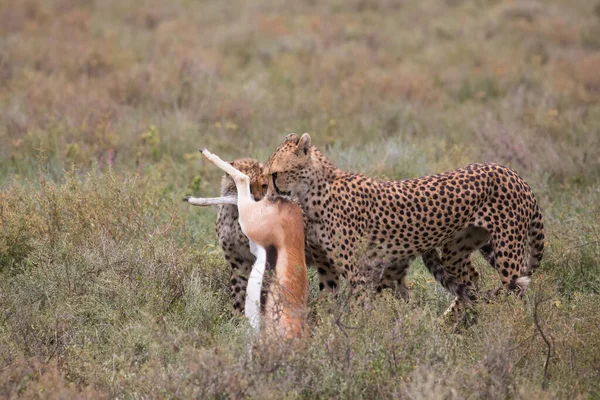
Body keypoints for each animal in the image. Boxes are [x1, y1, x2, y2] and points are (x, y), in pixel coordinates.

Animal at [266, 134, 544, 312]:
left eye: (276, 173)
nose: (268, 195)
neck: (313, 192)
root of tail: (513, 173)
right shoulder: (328, 269)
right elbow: (325, 305)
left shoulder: (358, 274)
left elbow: (355, 309)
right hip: (456, 250)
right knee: (471, 282)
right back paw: (455, 325)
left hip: (507, 253)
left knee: (514, 292)